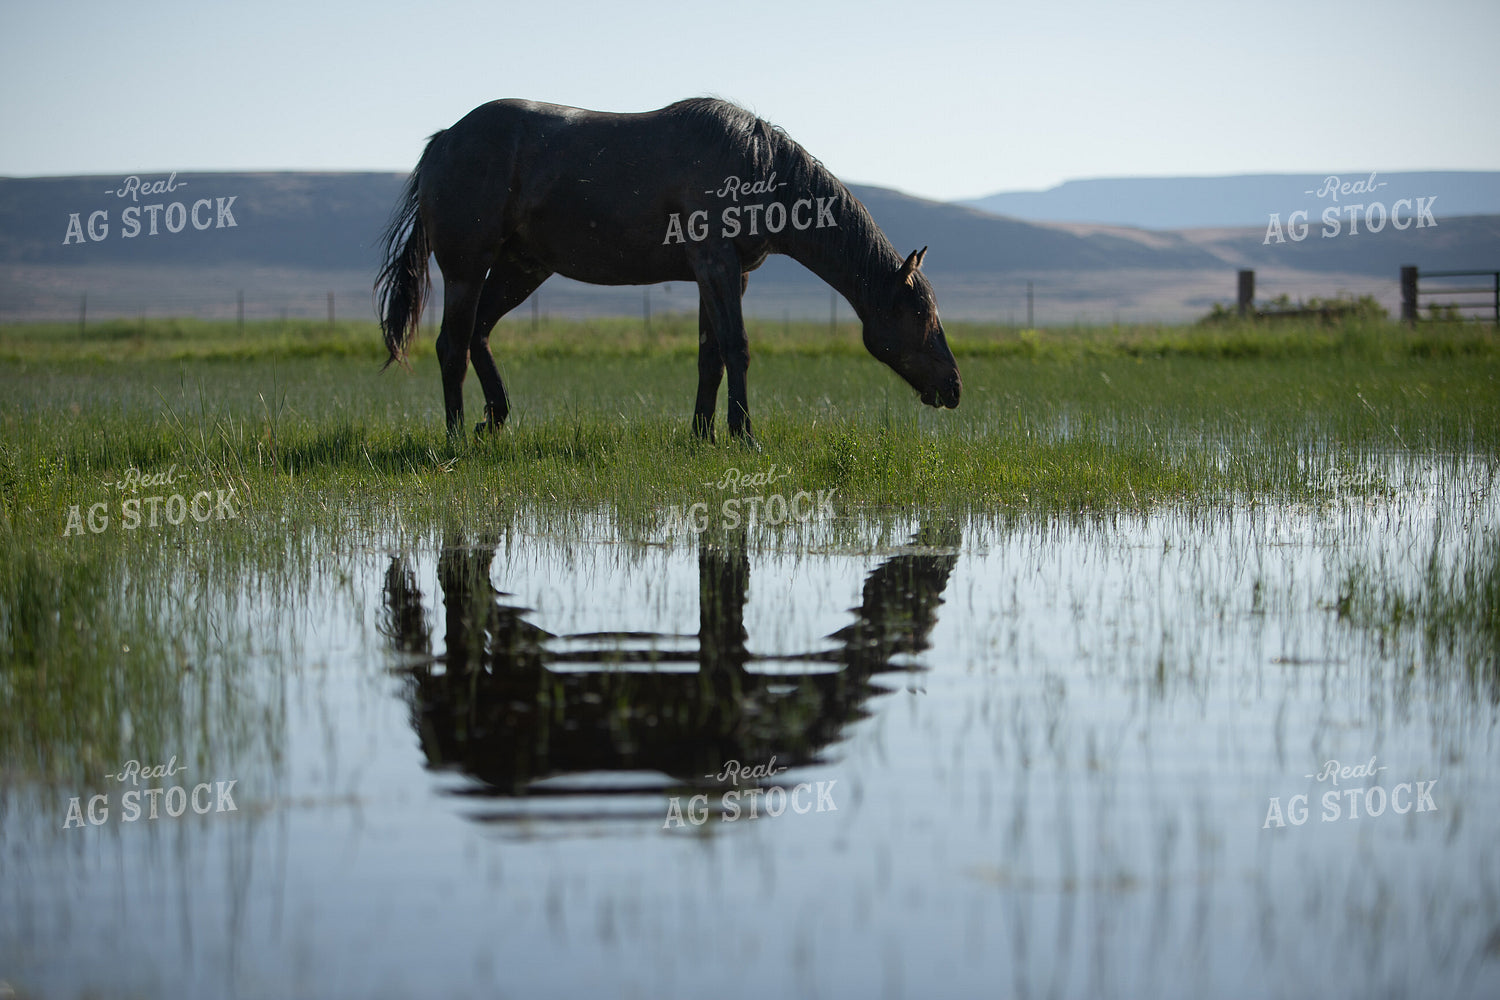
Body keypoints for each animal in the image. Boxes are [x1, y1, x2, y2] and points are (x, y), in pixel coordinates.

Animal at [375, 97, 961, 446]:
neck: (758, 167)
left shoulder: (720, 274)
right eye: (921, 315)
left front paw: (703, 434)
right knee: (452, 346)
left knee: (478, 335)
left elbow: (710, 356)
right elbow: (736, 347)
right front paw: (744, 435)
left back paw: (492, 420)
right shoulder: (717, 265)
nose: (955, 388)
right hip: (467, 269)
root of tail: (443, 140)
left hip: (522, 267)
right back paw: (455, 437)